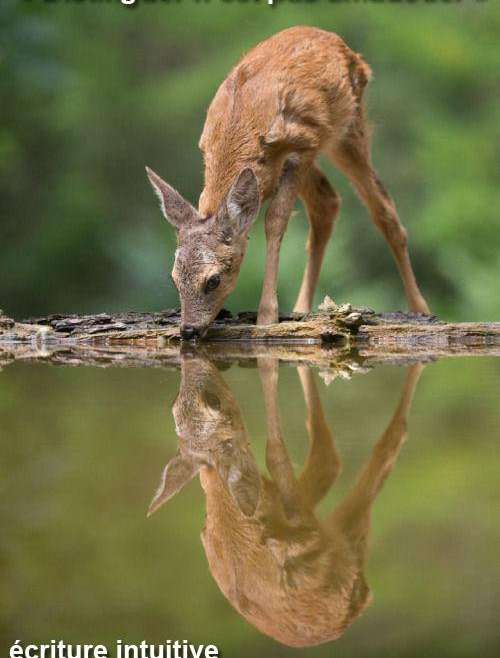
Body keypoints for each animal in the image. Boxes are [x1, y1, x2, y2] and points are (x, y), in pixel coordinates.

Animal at [146, 25, 430, 338]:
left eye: (214, 280)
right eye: (173, 279)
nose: (188, 330)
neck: (239, 130)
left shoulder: (302, 146)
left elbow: (275, 221)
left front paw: (267, 316)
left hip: (346, 129)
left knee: (382, 208)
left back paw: (420, 308)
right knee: (327, 201)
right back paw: (302, 309)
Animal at [149, 354, 426, 644]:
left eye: (210, 400)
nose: (188, 357)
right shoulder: (303, 523)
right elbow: (291, 456)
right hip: (345, 546)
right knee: (379, 446)